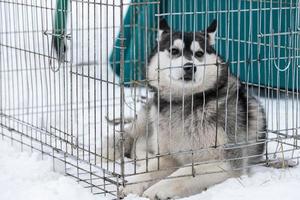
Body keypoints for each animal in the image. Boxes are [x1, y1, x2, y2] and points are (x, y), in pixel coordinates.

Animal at [106, 19, 266, 200]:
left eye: (199, 53)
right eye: (174, 51)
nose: (190, 67)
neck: (185, 103)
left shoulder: (227, 161)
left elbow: (185, 172)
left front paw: (156, 190)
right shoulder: (168, 156)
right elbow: (149, 171)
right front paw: (131, 184)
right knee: (133, 142)